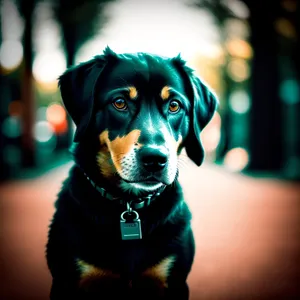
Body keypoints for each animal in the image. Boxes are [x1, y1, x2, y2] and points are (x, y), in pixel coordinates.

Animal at [45, 46, 217, 298]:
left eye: (174, 105)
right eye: (119, 102)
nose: (155, 159)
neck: (128, 204)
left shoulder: (174, 280)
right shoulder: (67, 281)